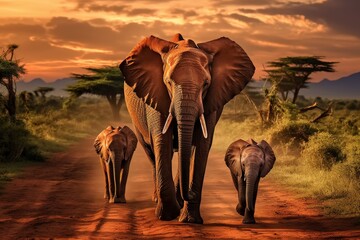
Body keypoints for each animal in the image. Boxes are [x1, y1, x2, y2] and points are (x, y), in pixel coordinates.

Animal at [119, 33, 255, 223]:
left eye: (206, 84)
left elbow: (200, 146)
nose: (189, 194)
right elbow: (162, 141)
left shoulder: (210, 100)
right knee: (152, 152)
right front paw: (167, 215)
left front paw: (190, 220)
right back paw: (158, 199)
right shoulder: (156, 94)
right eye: (168, 82)